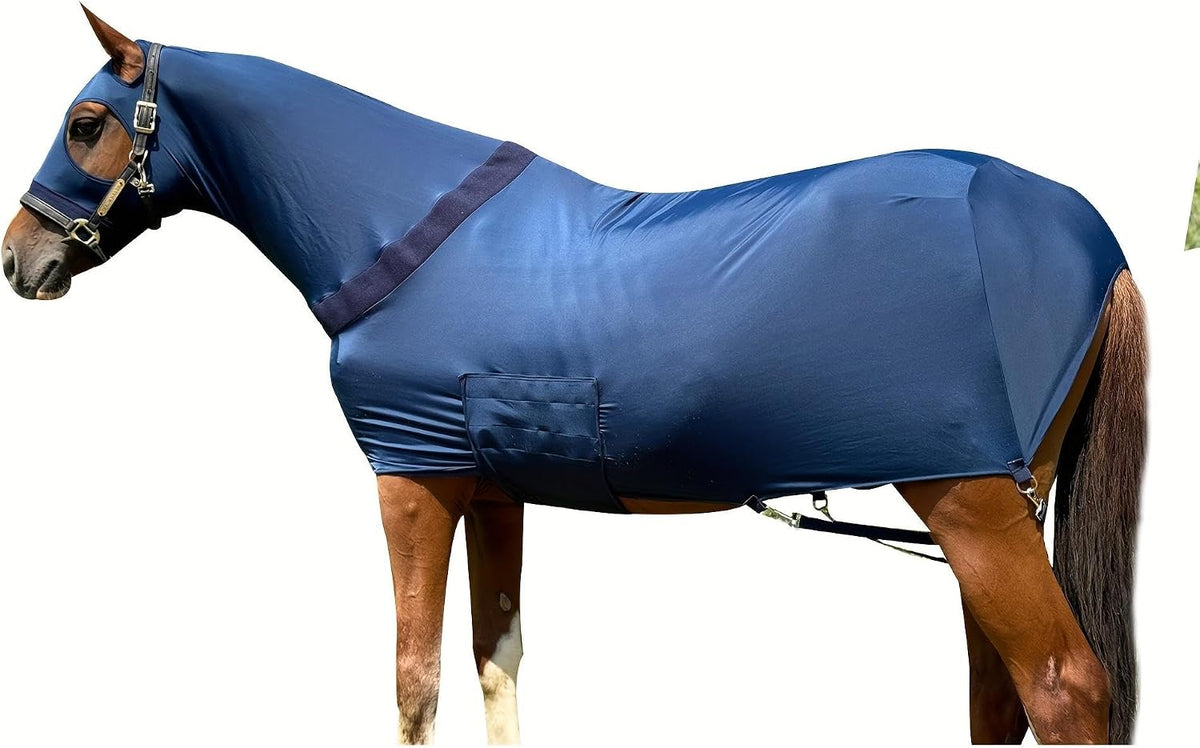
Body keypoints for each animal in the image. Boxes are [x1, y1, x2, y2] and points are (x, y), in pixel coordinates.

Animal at [3, 9, 1145, 744]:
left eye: (86, 124)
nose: (22, 261)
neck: (401, 232)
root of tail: (1094, 239)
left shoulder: (411, 481)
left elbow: (415, 683)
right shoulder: (490, 486)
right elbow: (495, 661)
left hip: (972, 503)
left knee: (1062, 689)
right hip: (994, 503)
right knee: (997, 697)